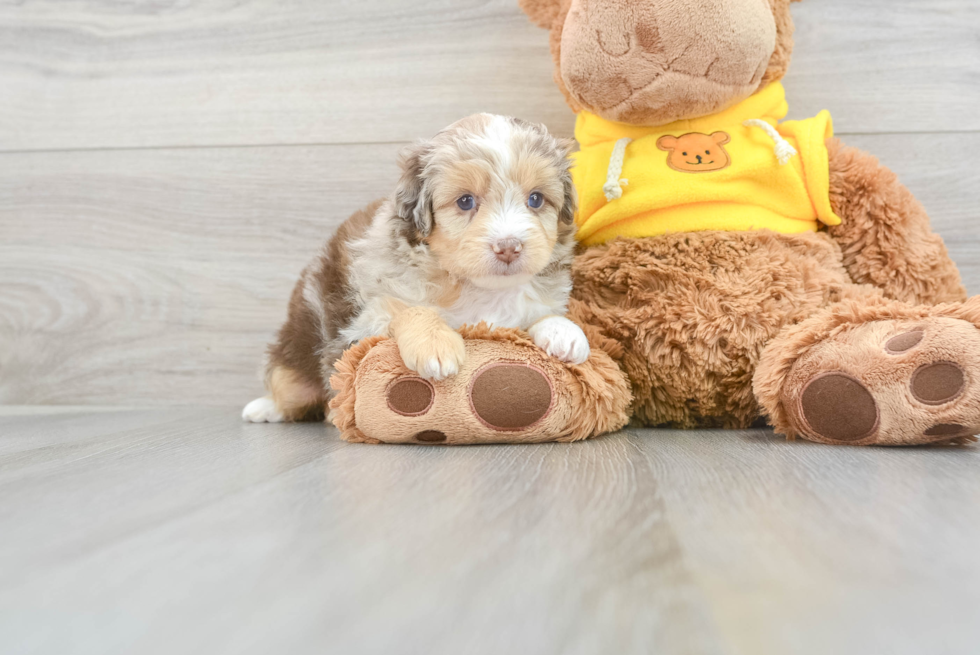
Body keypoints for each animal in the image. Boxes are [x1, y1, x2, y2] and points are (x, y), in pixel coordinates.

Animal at [243, 114, 588, 422]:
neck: (476, 286)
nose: (508, 247)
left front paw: (565, 332)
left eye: (535, 199)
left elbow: (541, 314)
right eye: (465, 201)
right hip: (297, 357)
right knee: (287, 388)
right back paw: (264, 408)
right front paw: (435, 344)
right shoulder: (362, 323)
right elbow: (406, 308)